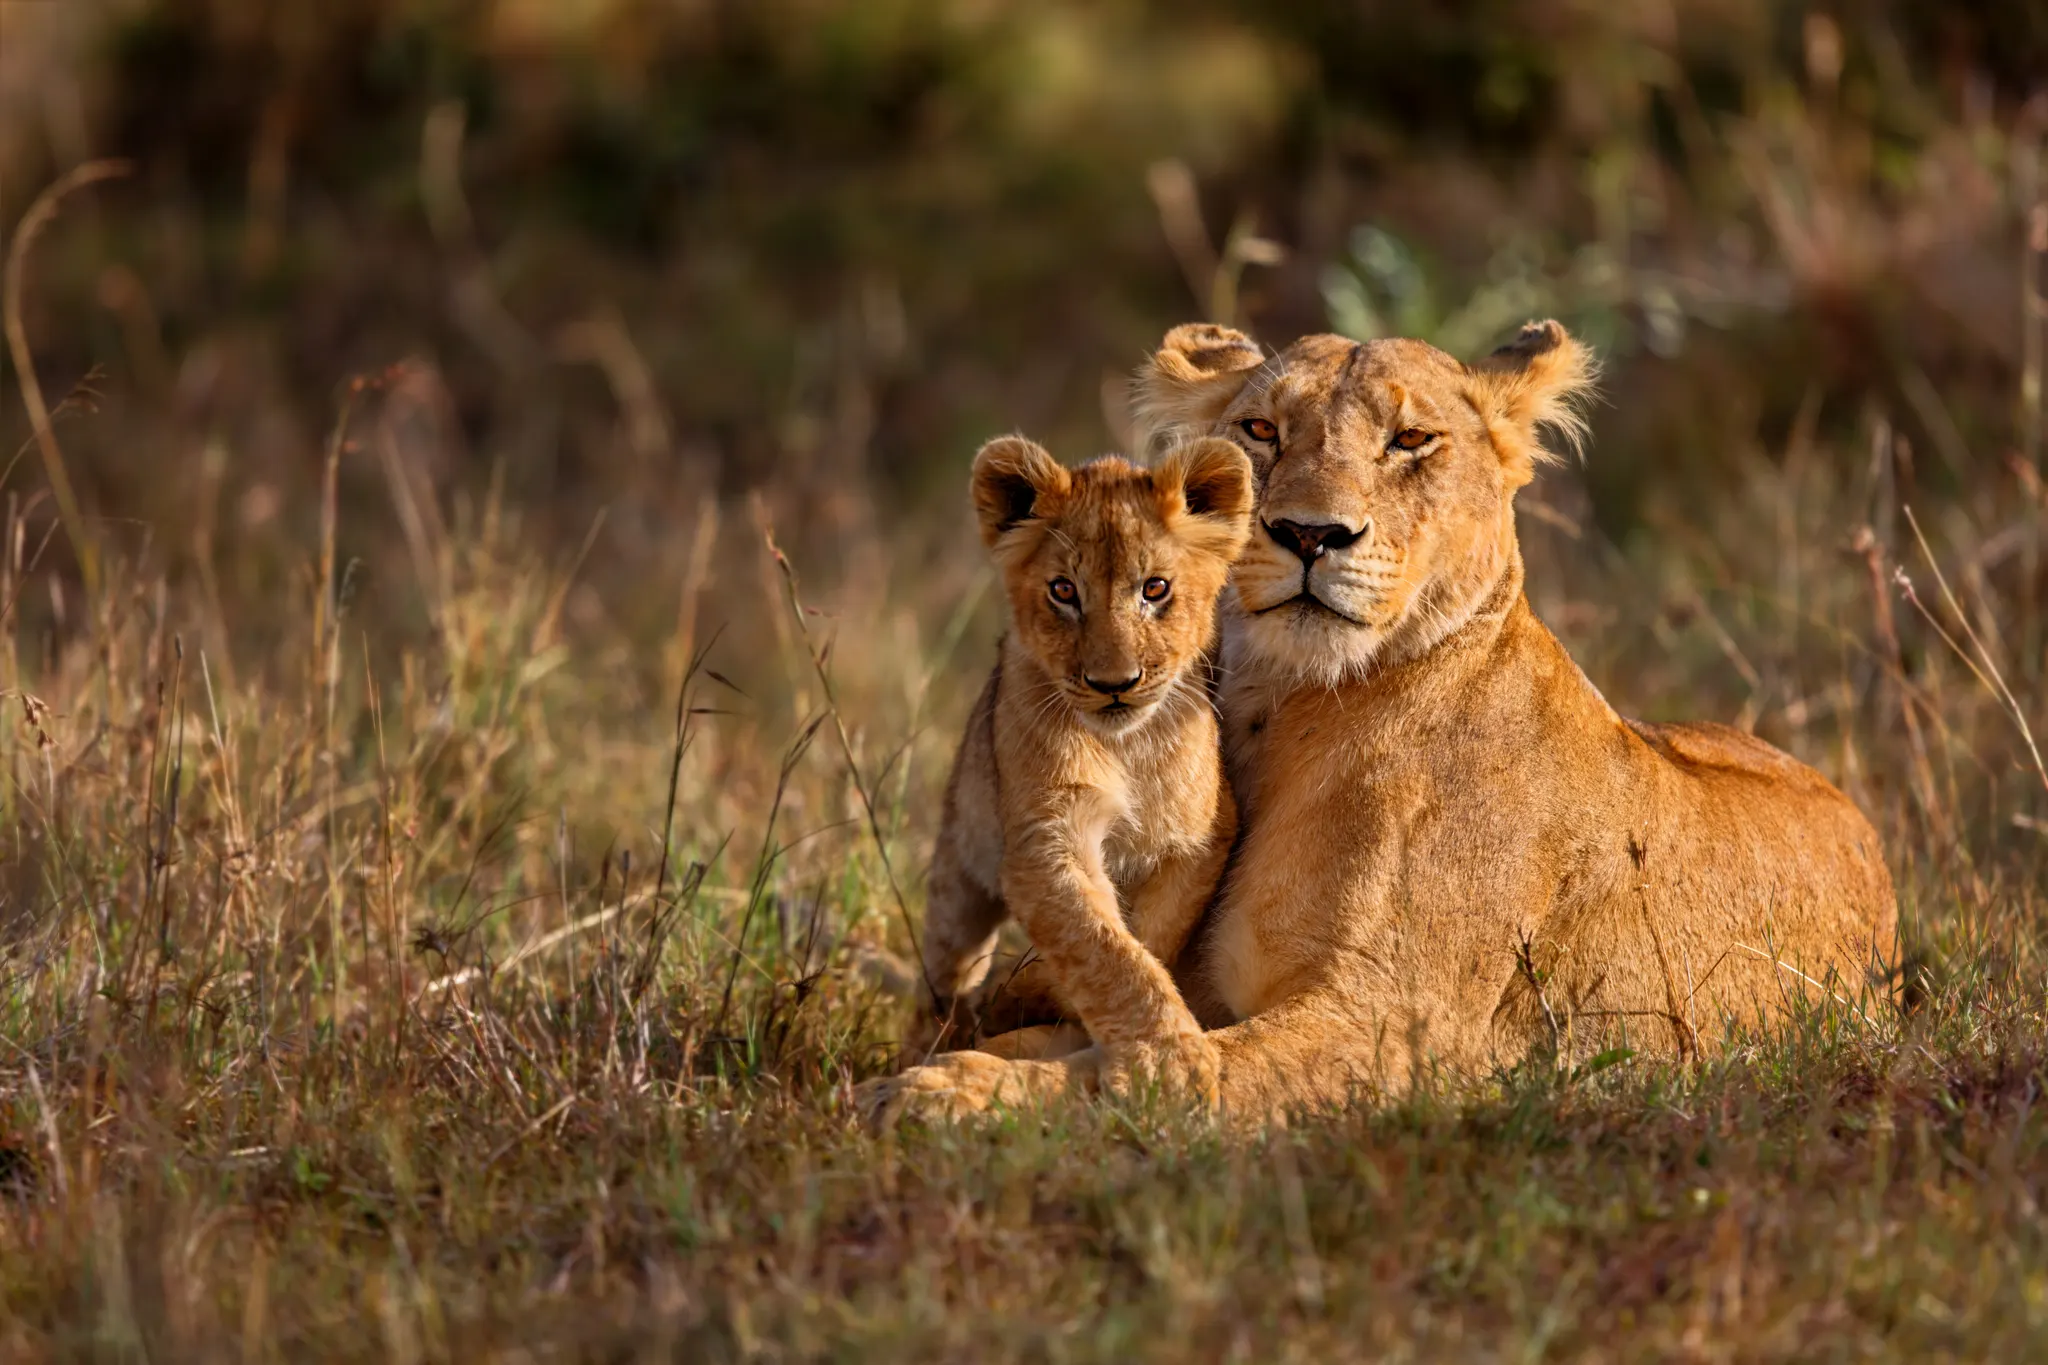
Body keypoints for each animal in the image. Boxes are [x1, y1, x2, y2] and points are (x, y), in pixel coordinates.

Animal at [897, 433, 1255, 1096]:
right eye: (1064, 591)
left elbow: (1146, 938)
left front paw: (1034, 993)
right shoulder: (1044, 841)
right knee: (943, 971)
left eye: (1155, 589)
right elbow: (1102, 947)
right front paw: (1169, 1062)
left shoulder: (1199, 838)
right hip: (959, 867)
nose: (1114, 684)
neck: (1126, 748)